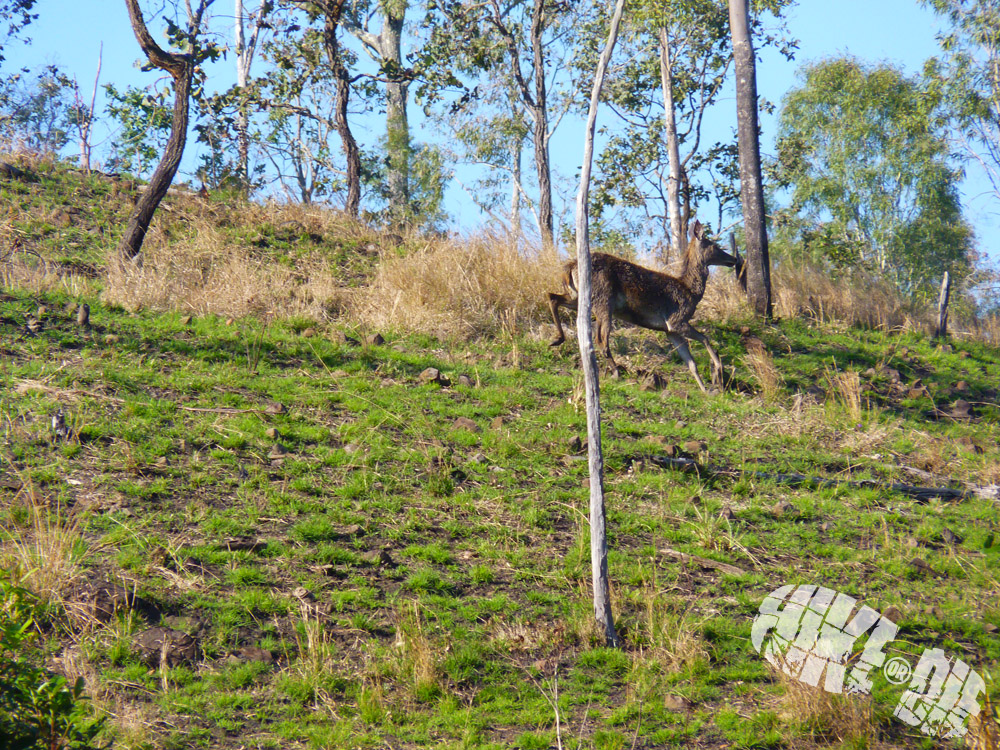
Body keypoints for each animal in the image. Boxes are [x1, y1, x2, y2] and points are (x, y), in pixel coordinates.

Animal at [548, 222, 744, 394]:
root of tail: (570, 267)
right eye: (714, 245)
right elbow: (705, 338)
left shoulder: (670, 331)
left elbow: (691, 362)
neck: (691, 292)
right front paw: (717, 373)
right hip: (603, 300)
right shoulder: (677, 320)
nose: (734, 259)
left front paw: (705, 389)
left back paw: (557, 339)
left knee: (553, 297)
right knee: (601, 339)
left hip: (579, 296)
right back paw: (616, 372)